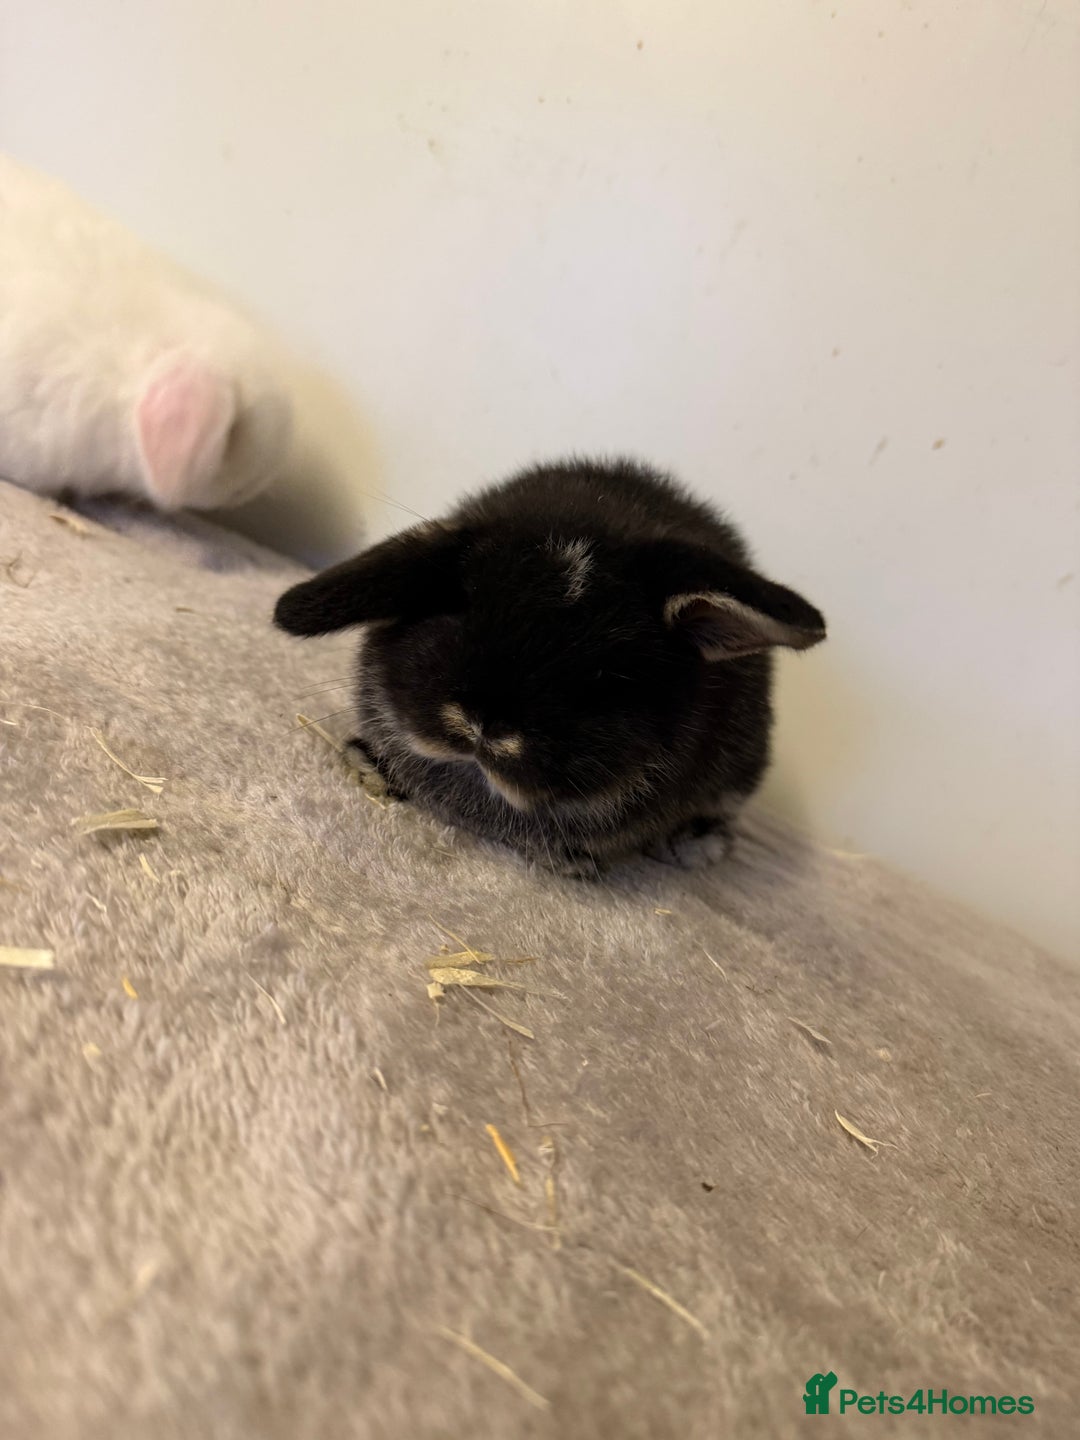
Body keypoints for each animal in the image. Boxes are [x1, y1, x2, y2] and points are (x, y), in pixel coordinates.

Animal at [274, 457, 826, 874]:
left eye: (608, 670)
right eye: (458, 605)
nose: (482, 725)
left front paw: (572, 862)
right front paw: (367, 763)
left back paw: (696, 844)